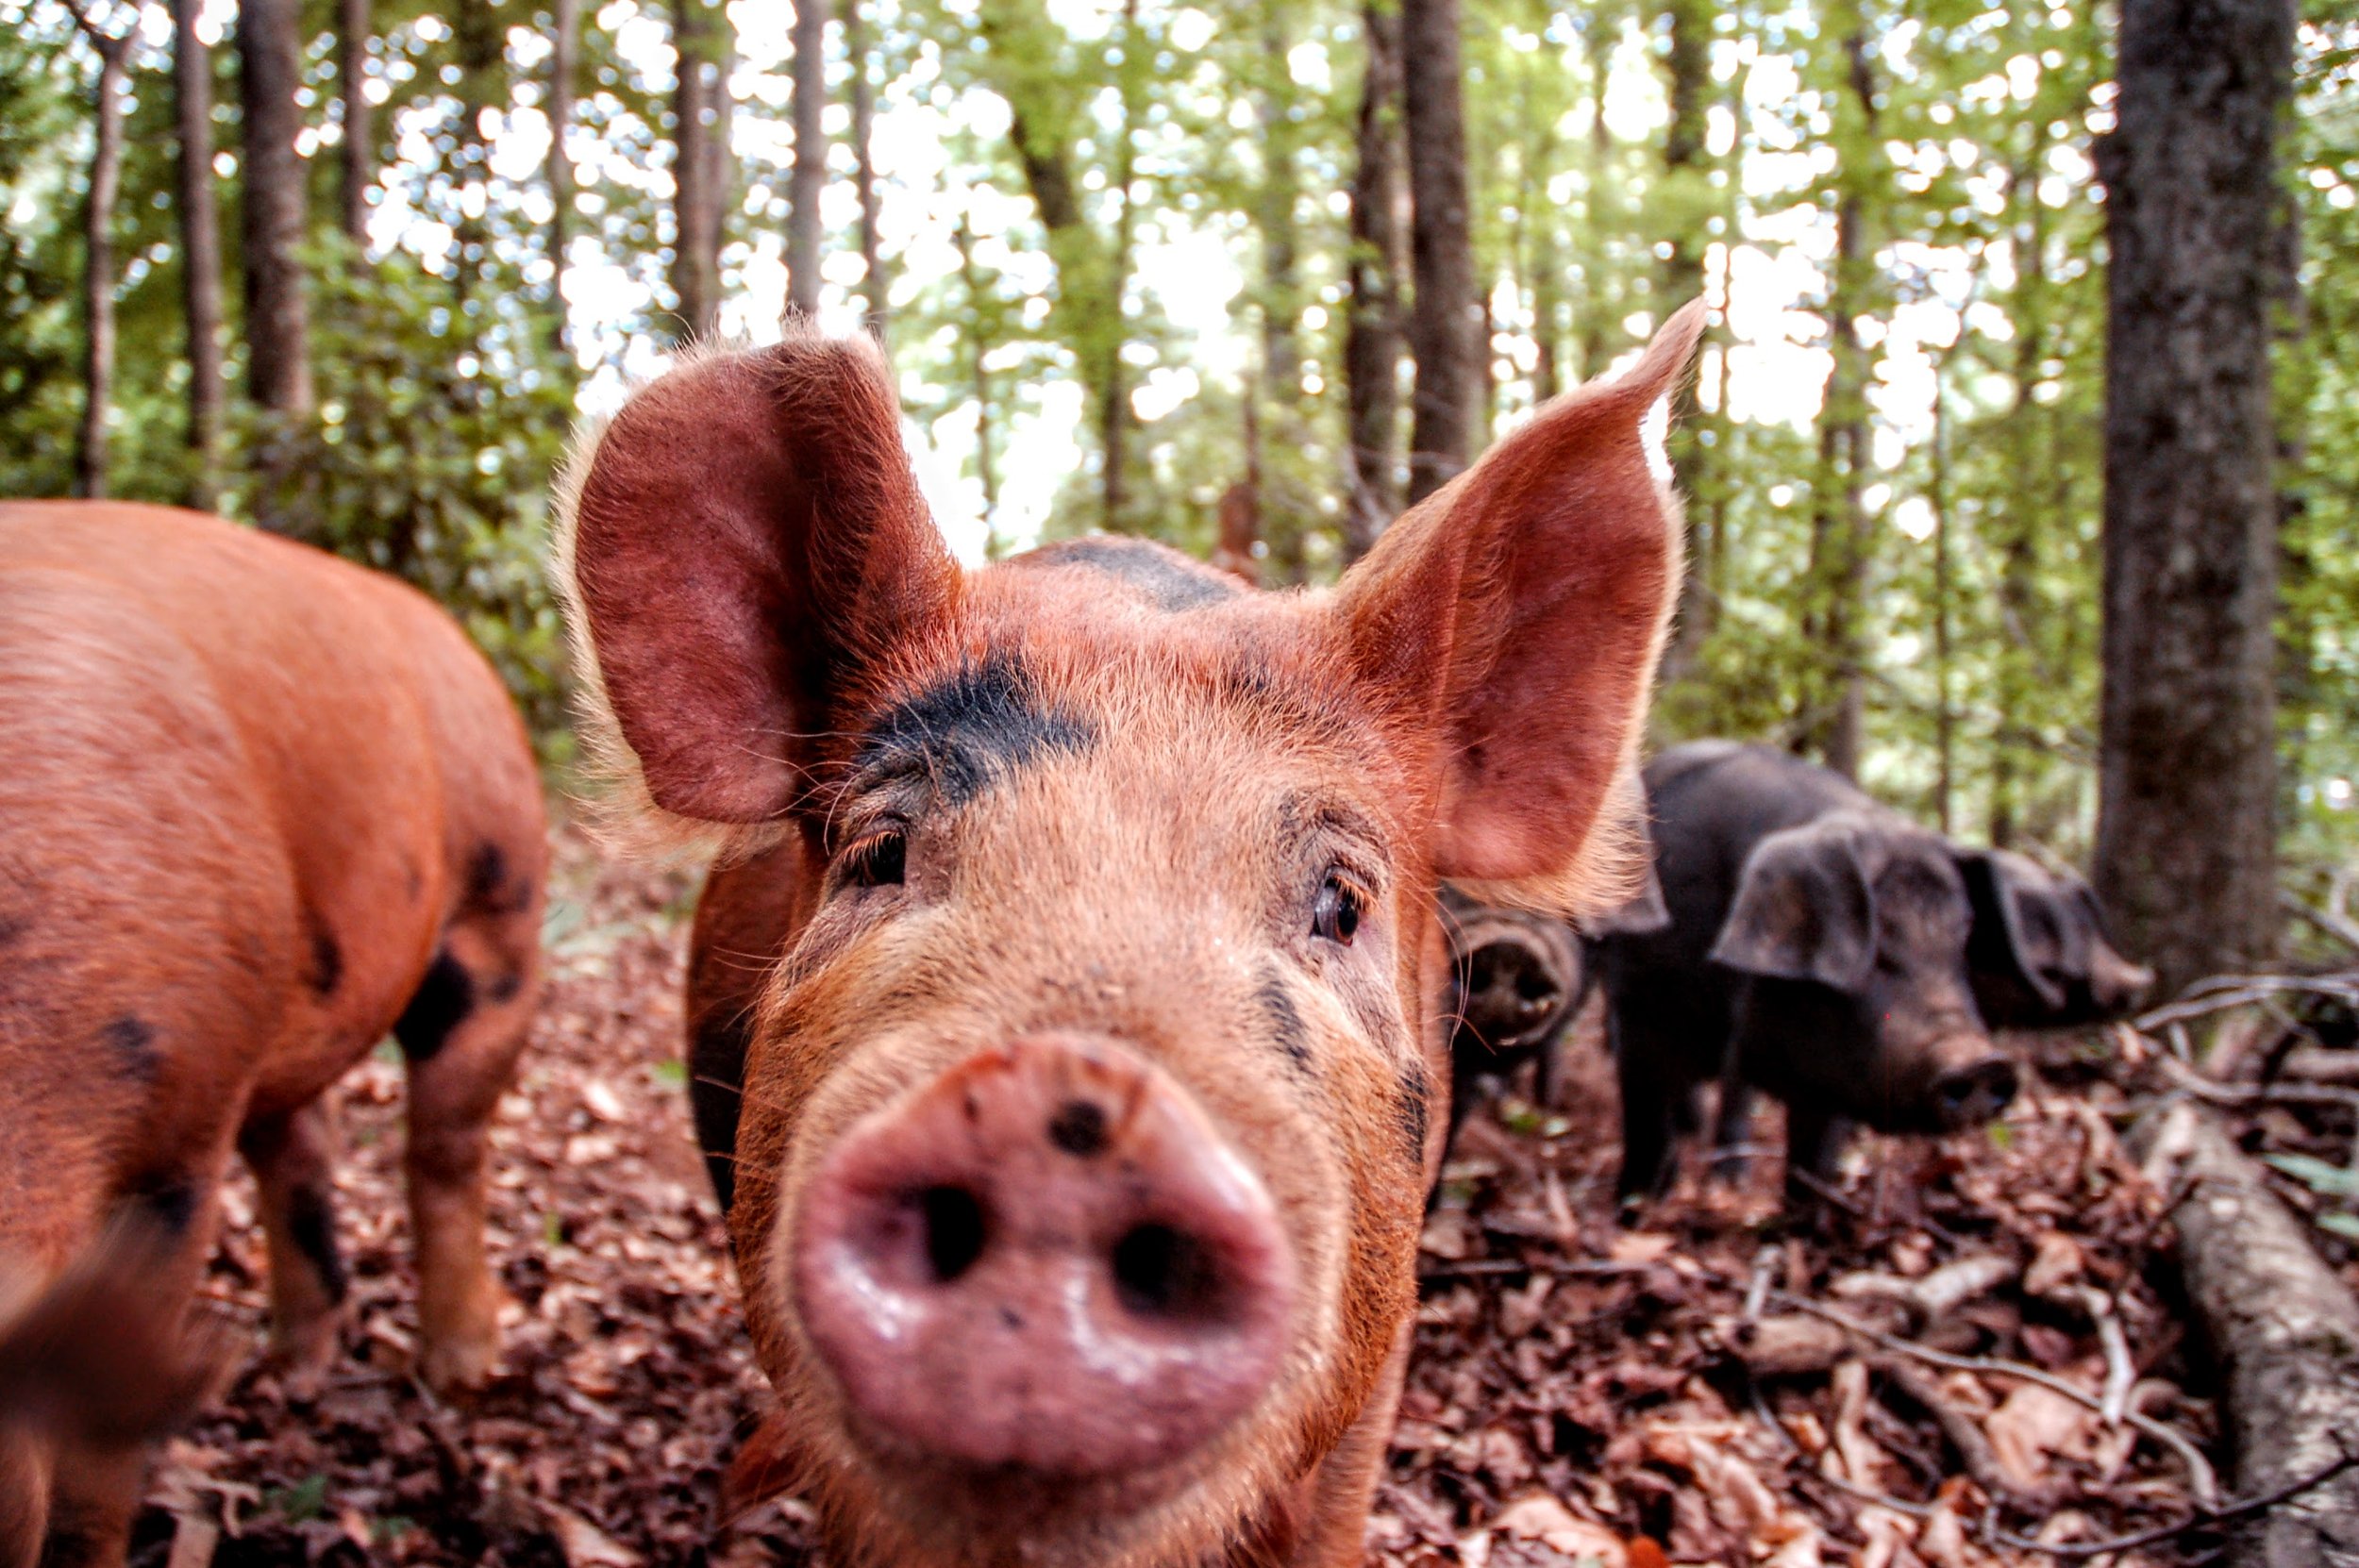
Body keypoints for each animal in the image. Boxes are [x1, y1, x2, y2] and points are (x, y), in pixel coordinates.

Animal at [0, 502, 544, 1566]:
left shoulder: (178, 1133)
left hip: (501, 897)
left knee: (445, 1140)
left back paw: (460, 1373)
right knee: (300, 1147)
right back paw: (289, 1371)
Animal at [1589, 740, 2030, 1201]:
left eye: (1961, 943)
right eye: (1875, 946)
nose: (1983, 1062)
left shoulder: (1834, 1069)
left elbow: (1813, 1159)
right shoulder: (1641, 1006)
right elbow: (1646, 1124)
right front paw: (1636, 1207)